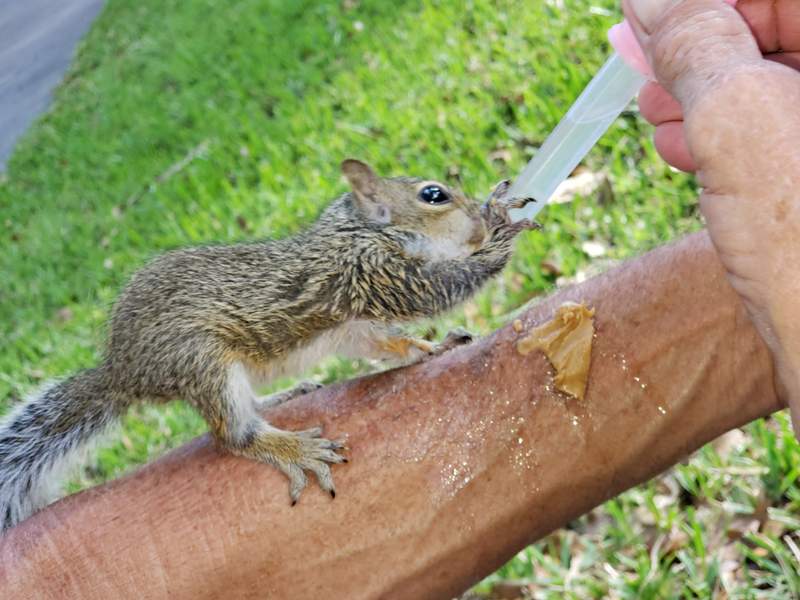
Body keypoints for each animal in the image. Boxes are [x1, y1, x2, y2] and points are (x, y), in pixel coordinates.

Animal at [0, 159, 537, 530]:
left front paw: (435, 348)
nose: (475, 221)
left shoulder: (358, 324)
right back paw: (292, 448)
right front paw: (500, 226)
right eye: (434, 195)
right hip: (203, 362)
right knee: (233, 436)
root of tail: (124, 371)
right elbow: (441, 287)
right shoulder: (371, 273)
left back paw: (284, 397)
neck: (357, 229)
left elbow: (389, 346)